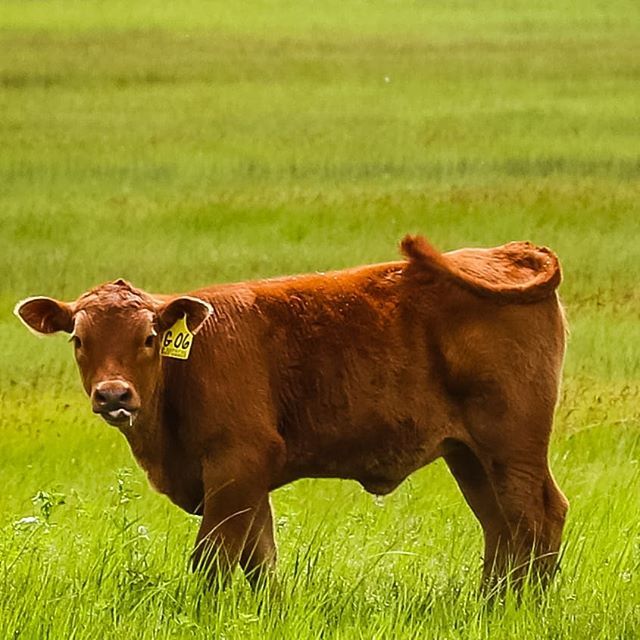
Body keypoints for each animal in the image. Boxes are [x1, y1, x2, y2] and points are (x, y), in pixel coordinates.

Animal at [15, 235, 568, 589]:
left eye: (150, 337)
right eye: (78, 339)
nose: (113, 395)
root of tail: (505, 252)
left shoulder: (237, 464)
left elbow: (213, 559)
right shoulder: (247, 480)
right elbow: (260, 562)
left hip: (512, 444)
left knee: (537, 516)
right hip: (469, 455)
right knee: (501, 527)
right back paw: (492, 604)